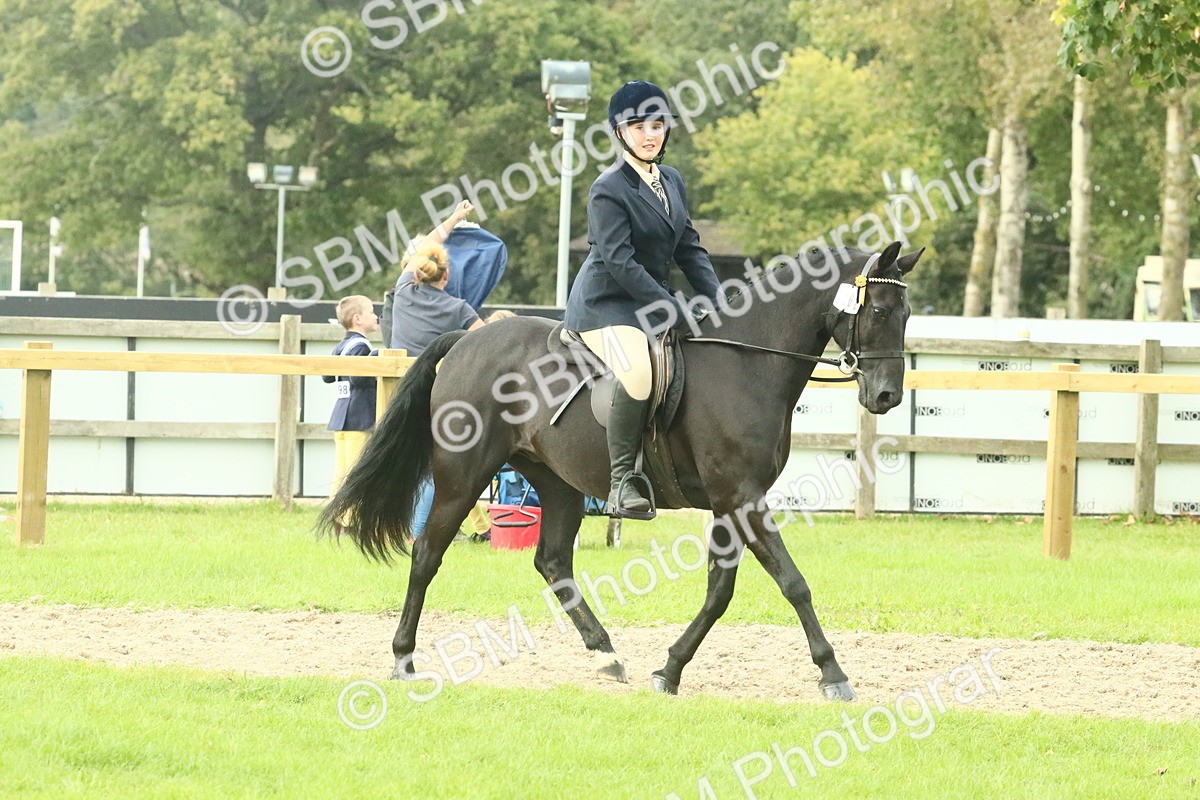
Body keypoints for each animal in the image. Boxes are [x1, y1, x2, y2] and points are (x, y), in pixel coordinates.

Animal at [320, 241, 922, 700]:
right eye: (879, 311)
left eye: (907, 314)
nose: (887, 396)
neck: (747, 363)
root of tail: (469, 339)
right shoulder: (742, 497)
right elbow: (793, 583)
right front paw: (833, 674)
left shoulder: (730, 503)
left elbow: (719, 592)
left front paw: (670, 669)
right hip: (463, 476)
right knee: (427, 554)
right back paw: (403, 660)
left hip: (556, 483)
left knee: (552, 561)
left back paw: (605, 654)